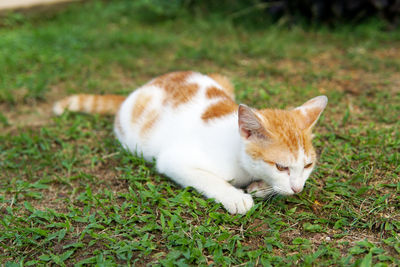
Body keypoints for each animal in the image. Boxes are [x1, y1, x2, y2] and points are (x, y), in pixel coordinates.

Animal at [54, 71, 328, 216]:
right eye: (281, 167)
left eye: (308, 166)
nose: (298, 189)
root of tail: (139, 89)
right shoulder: (173, 160)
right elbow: (208, 178)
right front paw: (236, 197)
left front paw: (261, 187)